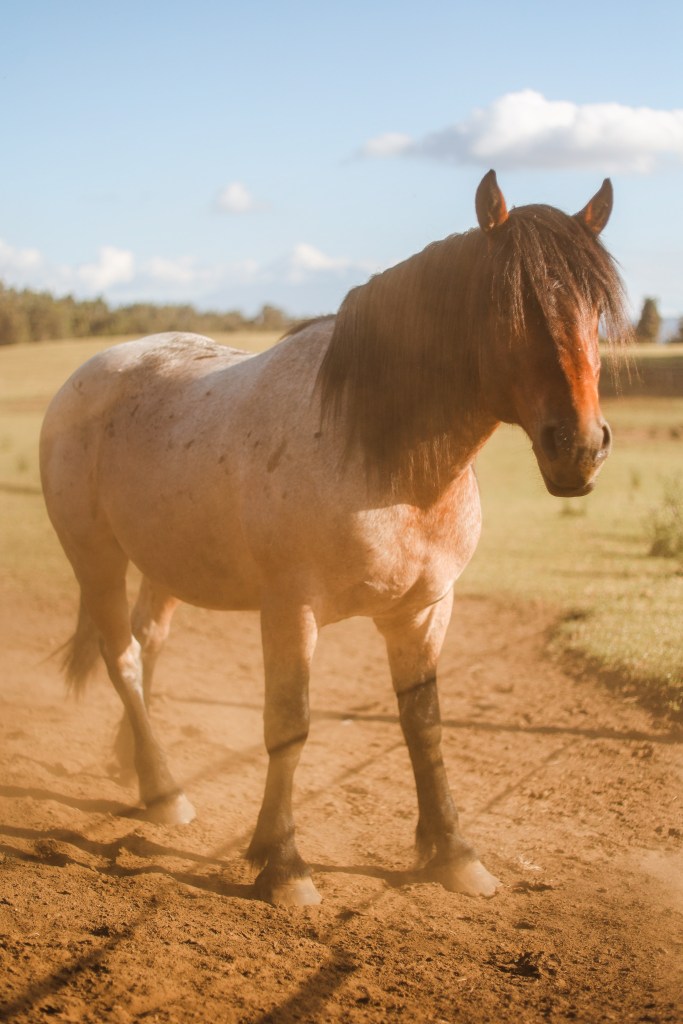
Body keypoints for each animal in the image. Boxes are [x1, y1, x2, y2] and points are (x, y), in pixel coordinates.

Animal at [39, 171, 628, 906]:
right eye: (508, 308)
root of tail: (88, 373)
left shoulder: (423, 611)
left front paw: (451, 853)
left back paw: (142, 774)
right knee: (121, 658)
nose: (579, 448)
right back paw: (168, 790)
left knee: (149, 647)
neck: (387, 463)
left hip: (163, 566)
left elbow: (424, 726)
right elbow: (289, 727)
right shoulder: (292, 612)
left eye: (594, 308)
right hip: (95, 558)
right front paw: (283, 863)